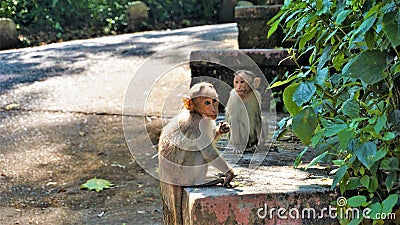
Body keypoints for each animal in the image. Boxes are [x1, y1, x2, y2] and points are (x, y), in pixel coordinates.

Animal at [158, 82, 236, 225]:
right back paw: (202, 182)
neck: (195, 113)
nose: (214, 110)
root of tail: (172, 180)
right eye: (206, 102)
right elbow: (208, 152)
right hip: (185, 175)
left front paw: (222, 128)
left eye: (214, 101)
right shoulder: (199, 125)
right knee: (198, 154)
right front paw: (229, 174)